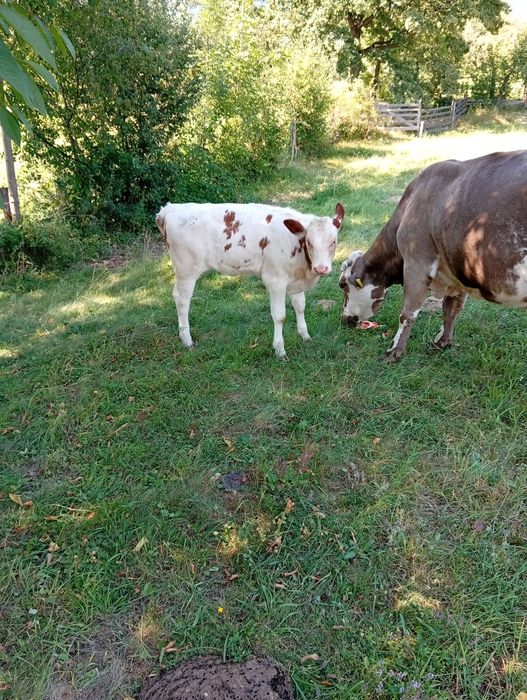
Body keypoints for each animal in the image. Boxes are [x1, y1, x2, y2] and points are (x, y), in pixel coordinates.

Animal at [156, 202, 345, 357]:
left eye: (333, 242)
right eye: (309, 242)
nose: (321, 268)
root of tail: (170, 209)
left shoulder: (294, 281)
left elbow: (300, 306)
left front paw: (305, 335)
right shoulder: (275, 280)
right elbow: (280, 316)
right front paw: (279, 350)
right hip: (186, 269)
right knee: (182, 300)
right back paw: (187, 339)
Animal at [339, 150, 527, 361]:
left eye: (342, 285)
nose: (343, 319)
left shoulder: (416, 261)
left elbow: (408, 313)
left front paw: (394, 352)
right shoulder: (457, 270)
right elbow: (451, 308)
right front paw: (442, 343)